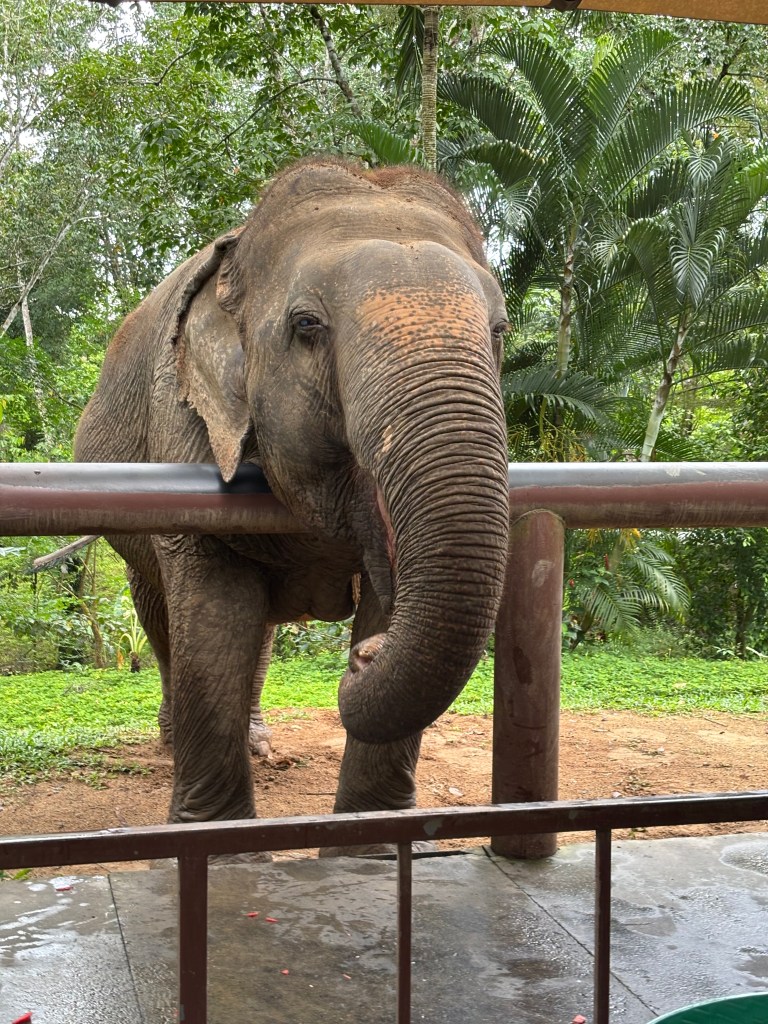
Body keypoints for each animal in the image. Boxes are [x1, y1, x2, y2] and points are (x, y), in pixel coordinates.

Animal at [74, 156, 511, 838]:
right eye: (307, 326)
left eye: (499, 330)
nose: (362, 658)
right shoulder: (183, 421)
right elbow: (211, 616)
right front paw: (216, 842)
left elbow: (380, 595)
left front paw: (373, 844)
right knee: (159, 616)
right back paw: (172, 742)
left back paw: (258, 742)